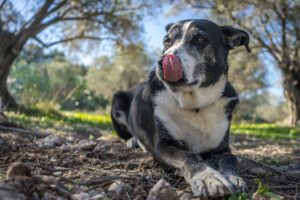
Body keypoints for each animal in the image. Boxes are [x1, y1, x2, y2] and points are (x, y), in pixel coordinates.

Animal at [111, 19, 250, 198]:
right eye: (167, 41)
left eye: (200, 39)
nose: (162, 62)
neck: (195, 106)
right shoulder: (163, 146)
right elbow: (188, 156)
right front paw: (208, 177)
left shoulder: (222, 148)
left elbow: (230, 158)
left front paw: (232, 177)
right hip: (117, 100)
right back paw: (132, 140)